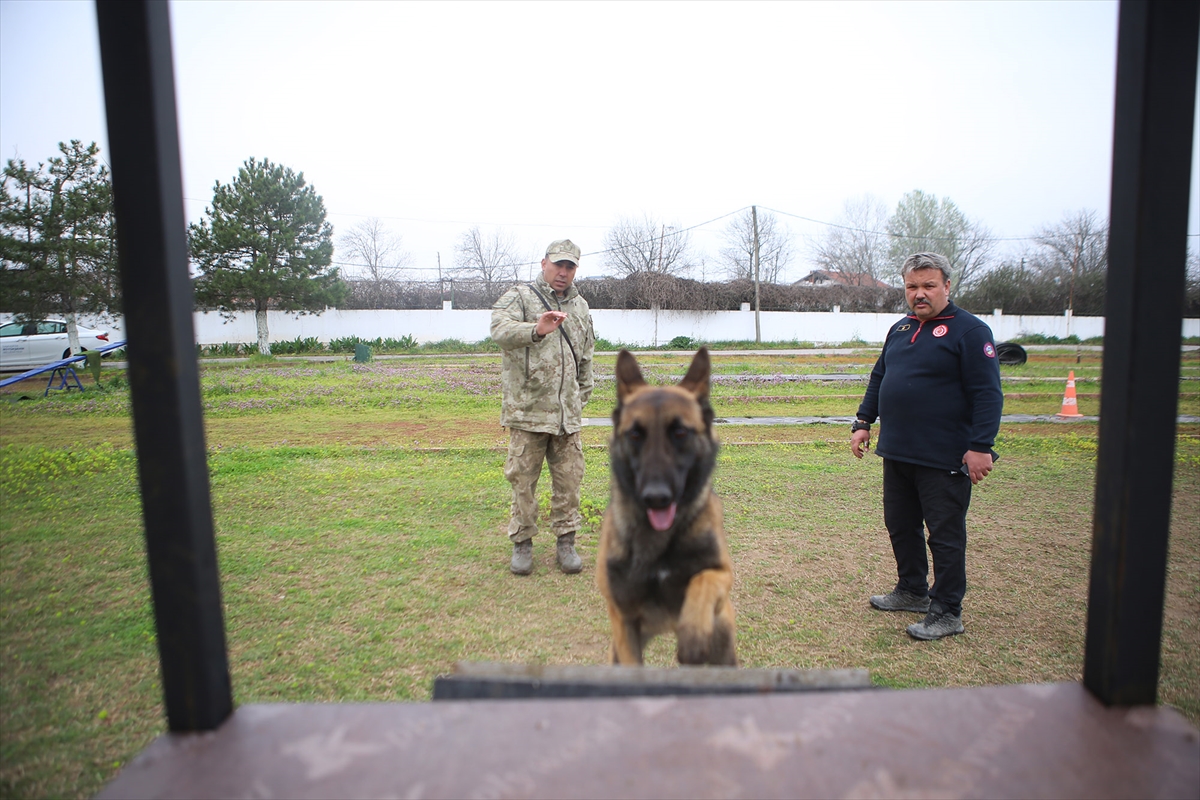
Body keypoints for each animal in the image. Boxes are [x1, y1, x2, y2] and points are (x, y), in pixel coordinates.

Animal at [595, 347, 734, 666]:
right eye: (635, 435)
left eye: (680, 433)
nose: (656, 497)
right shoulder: (623, 620)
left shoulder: (724, 574)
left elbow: (704, 578)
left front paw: (693, 633)